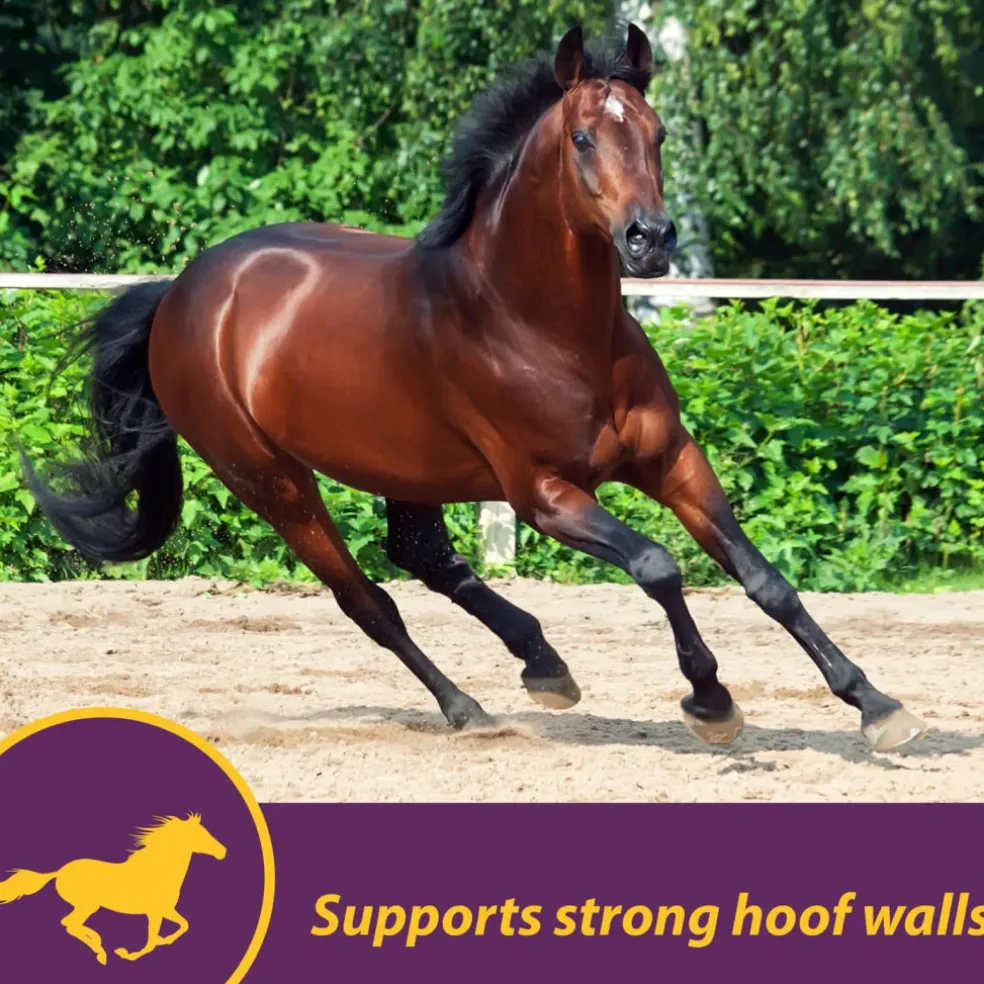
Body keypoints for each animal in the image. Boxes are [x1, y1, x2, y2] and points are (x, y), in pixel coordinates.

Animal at [0, 813, 226, 964]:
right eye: (201, 835)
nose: (223, 851)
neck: (157, 871)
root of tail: (59, 872)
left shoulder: (165, 910)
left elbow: (183, 925)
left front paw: (163, 940)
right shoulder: (154, 912)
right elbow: (151, 940)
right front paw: (127, 953)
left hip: (86, 906)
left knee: (69, 923)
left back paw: (98, 943)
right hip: (87, 905)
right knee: (70, 924)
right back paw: (100, 951)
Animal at [22, 23, 926, 753]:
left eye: (660, 134)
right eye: (583, 138)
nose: (651, 240)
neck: (542, 326)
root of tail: (184, 292)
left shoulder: (672, 460)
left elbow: (763, 578)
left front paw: (877, 705)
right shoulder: (544, 495)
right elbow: (659, 566)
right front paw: (710, 701)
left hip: (401, 466)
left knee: (422, 556)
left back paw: (543, 663)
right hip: (270, 480)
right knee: (368, 599)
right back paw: (468, 709)